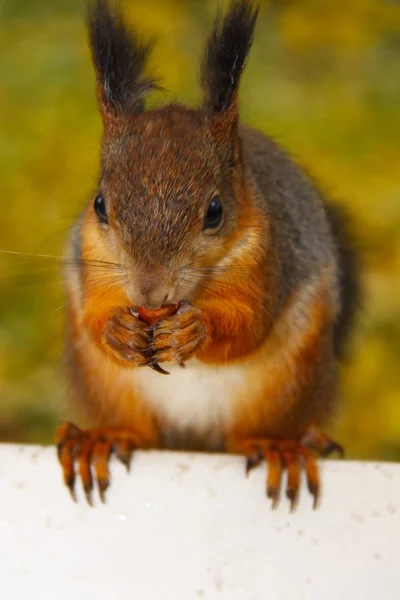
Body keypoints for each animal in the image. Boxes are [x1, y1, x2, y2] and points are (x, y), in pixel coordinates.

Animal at [55, 0, 356, 508]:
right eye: (99, 205)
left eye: (214, 211)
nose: (149, 294)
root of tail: (193, 440)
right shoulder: (91, 254)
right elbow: (97, 317)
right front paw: (117, 329)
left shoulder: (268, 257)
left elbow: (249, 325)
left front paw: (195, 329)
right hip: (109, 387)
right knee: (139, 433)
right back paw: (99, 439)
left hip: (287, 384)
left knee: (246, 438)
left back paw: (277, 448)